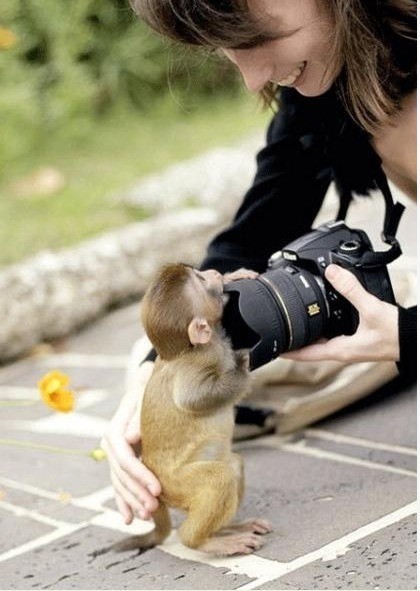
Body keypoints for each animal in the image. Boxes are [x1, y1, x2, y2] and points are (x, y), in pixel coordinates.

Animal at [121, 266, 272, 556]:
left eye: (200, 273)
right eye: (201, 280)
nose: (212, 272)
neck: (186, 349)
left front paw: (234, 276)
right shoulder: (199, 360)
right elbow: (193, 398)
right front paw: (243, 364)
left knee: (234, 466)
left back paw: (225, 530)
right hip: (177, 483)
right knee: (219, 478)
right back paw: (202, 541)